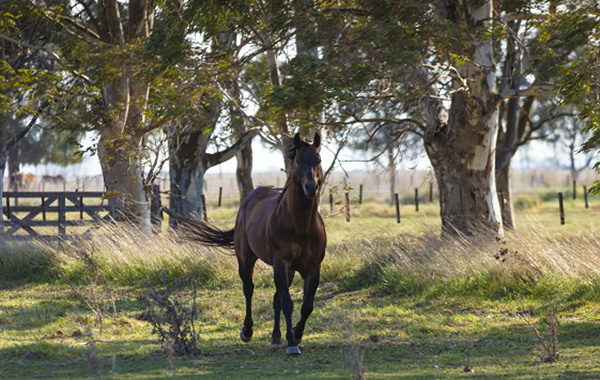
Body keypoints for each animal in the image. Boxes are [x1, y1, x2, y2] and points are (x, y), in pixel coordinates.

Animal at [183, 132, 326, 354]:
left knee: (276, 299)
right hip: (246, 260)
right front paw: (292, 343)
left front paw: (296, 333)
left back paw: (276, 338)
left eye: (318, 160)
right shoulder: (280, 263)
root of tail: (249, 199)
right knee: (249, 290)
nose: (311, 187)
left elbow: (306, 306)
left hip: (288, 270)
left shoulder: (312, 268)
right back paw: (247, 331)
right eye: (299, 160)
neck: (301, 226)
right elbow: (287, 303)